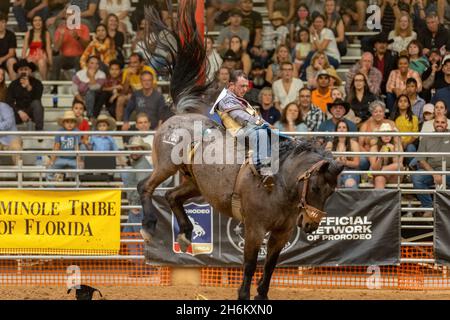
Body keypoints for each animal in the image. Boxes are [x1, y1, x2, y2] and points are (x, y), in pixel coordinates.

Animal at [139, 0, 342, 300]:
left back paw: (186, 234)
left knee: (172, 196)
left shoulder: (282, 232)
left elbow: (270, 266)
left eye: (331, 192)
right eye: (315, 187)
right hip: (166, 165)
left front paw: (262, 295)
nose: (311, 225)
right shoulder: (254, 228)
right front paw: (244, 295)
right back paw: (149, 227)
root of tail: (181, 115)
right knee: (146, 187)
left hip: (195, 183)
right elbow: (249, 264)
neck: (281, 183)